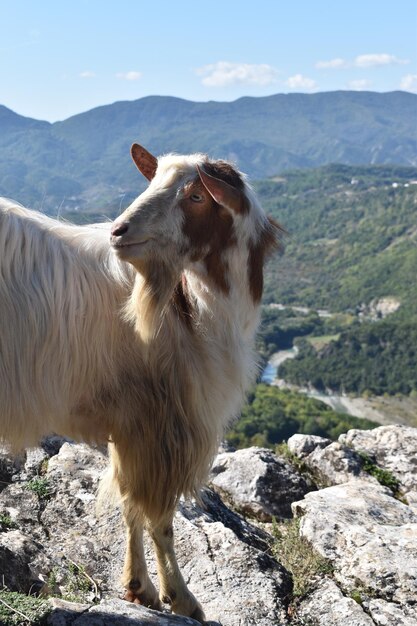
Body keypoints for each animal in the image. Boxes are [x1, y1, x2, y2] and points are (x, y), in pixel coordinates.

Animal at [0, 145, 282, 620]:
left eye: (196, 196)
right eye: (153, 183)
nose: (119, 231)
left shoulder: (134, 421)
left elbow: (131, 503)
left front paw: (139, 589)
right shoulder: (163, 422)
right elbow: (160, 518)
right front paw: (181, 597)